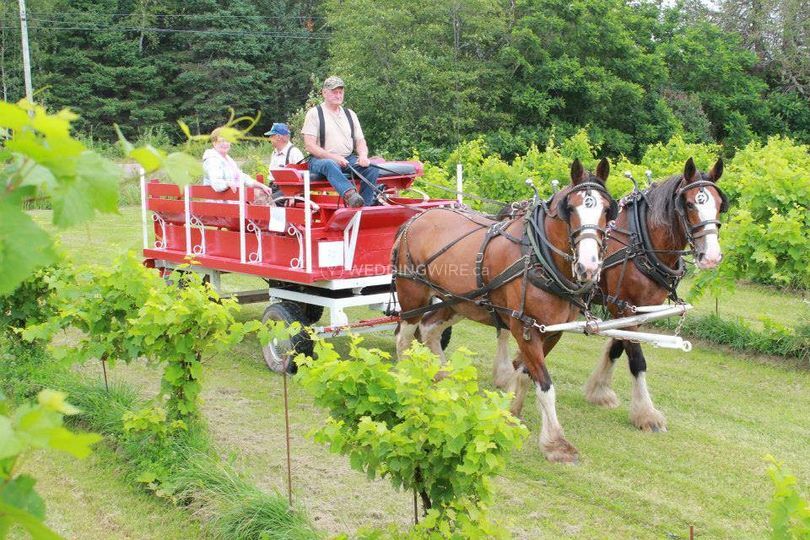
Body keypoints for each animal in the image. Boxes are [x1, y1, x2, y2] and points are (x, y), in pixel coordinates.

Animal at [392, 158, 612, 462]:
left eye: (607, 209)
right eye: (571, 209)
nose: (588, 267)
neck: (539, 260)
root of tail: (415, 220)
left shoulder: (552, 332)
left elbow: (527, 373)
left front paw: (511, 412)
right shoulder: (525, 328)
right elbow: (545, 384)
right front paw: (555, 442)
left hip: (458, 301)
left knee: (429, 329)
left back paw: (445, 377)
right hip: (413, 296)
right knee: (404, 337)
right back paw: (407, 379)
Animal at [504, 156, 724, 430]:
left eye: (719, 205)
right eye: (690, 203)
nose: (712, 256)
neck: (642, 241)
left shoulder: (635, 310)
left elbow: (618, 347)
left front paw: (599, 391)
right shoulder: (622, 306)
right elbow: (637, 359)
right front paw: (647, 414)